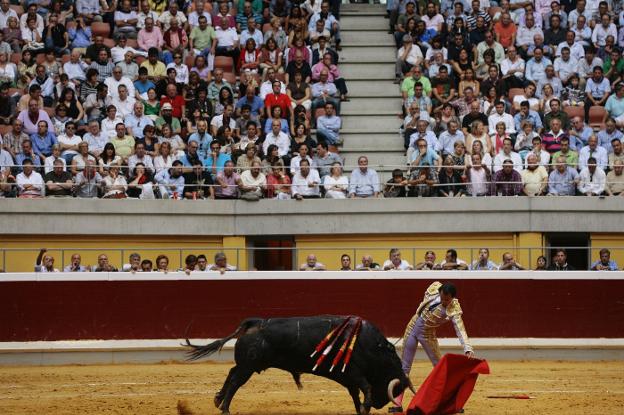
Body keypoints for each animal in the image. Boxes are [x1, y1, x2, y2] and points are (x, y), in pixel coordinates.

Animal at [183, 316, 414, 414]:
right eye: (396, 387)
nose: (380, 405)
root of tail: (256, 322)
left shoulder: (348, 378)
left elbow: (356, 394)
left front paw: (361, 410)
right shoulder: (354, 373)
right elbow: (365, 388)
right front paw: (366, 407)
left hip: (246, 365)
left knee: (231, 374)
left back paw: (217, 399)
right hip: (248, 366)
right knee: (235, 382)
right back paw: (225, 409)